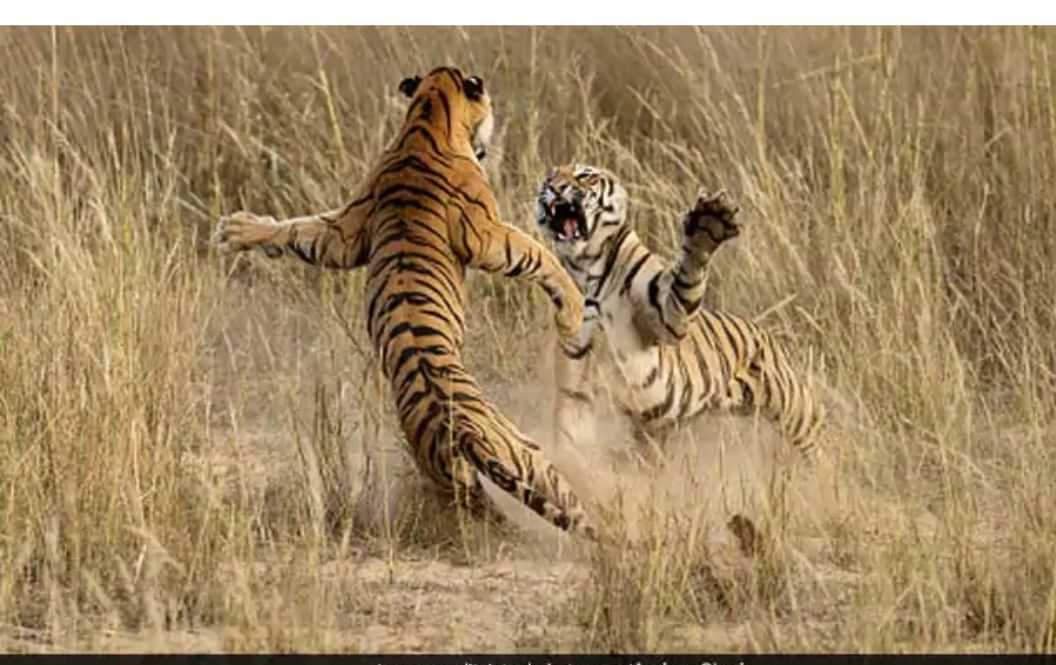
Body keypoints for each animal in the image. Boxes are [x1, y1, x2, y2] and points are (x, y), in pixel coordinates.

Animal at [213, 67, 601, 541]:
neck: (426, 115)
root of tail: (462, 433)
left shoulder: (345, 232)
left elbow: (298, 231)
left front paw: (237, 230)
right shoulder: (487, 236)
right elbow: (538, 255)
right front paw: (572, 310)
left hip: (463, 474)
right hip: (529, 455)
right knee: (572, 508)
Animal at [535, 163, 825, 467]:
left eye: (585, 176)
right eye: (551, 177)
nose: (555, 187)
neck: (587, 266)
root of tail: (766, 334)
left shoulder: (667, 315)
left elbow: (688, 273)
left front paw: (710, 221)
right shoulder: (576, 364)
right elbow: (572, 425)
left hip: (794, 406)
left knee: (815, 438)